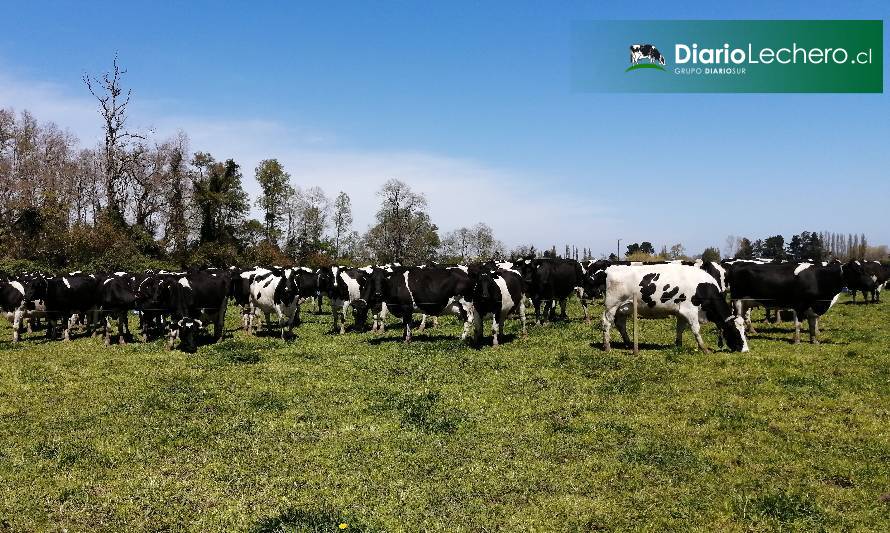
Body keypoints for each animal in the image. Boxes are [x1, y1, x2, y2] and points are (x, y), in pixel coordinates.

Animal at [596, 262, 748, 354]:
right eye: (735, 332)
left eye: (744, 332)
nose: (745, 350)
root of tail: (611, 268)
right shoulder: (690, 311)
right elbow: (696, 330)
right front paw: (704, 349)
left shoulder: (681, 312)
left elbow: (679, 329)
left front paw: (678, 345)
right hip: (612, 305)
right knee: (606, 322)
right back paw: (607, 346)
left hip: (624, 307)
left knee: (620, 324)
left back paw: (628, 343)